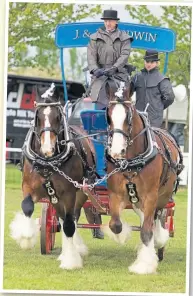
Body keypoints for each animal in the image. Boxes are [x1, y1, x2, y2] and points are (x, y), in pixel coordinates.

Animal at [9, 82, 95, 268]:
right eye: (37, 116)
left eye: (58, 116)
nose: (47, 148)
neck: (48, 162)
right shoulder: (28, 186)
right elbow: (27, 207)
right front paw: (26, 238)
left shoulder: (69, 192)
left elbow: (69, 224)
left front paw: (70, 261)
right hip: (54, 197)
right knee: (62, 219)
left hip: (81, 192)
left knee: (72, 218)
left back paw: (74, 249)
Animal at [103, 81, 183, 276]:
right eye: (108, 115)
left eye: (128, 116)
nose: (116, 151)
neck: (132, 160)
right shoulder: (115, 194)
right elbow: (115, 224)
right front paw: (121, 236)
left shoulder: (150, 196)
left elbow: (147, 230)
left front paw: (144, 265)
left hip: (163, 196)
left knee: (158, 217)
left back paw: (158, 243)